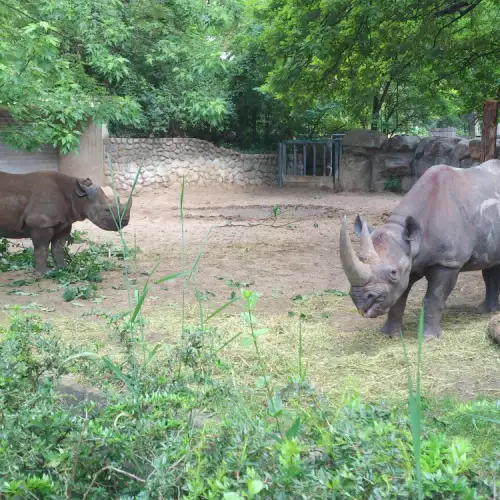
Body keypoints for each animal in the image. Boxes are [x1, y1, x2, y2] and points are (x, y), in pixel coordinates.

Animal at [0, 170, 132, 276]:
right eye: (106, 210)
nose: (125, 222)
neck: (77, 196)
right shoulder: (41, 223)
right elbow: (41, 249)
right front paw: (42, 274)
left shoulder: (64, 223)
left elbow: (58, 248)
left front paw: (62, 269)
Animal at [340, 160, 500, 340]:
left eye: (393, 273)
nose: (359, 300)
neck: (414, 240)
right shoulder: (410, 261)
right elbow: (399, 299)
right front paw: (389, 335)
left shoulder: (449, 262)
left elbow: (434, 298)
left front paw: (430, 338)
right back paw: (485, 311)